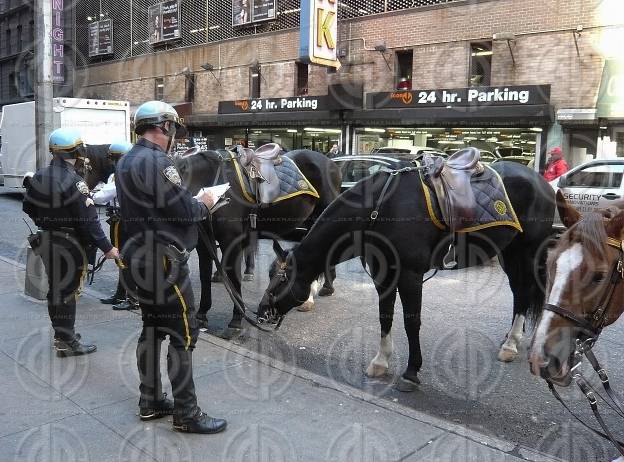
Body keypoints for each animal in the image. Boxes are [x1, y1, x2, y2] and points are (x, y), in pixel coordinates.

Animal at [176, 150, 342, 334]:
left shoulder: (231, 239)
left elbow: (233, 277)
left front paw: (236, 320)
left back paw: (321, 291)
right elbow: (204, 275)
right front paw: (202, 315)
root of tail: (332, 163)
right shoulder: (204, 242)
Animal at [258, 161, 556, 388]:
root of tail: (543, 183)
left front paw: (412, 371)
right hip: (508, 252)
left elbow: (411, 322)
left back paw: (511, 345)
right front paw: (380, 362)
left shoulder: (410, 276)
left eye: (281, 279)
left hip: (527, 253)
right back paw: (510, 339)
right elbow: (385, 317)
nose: (261, 313)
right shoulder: (384, 277)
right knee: (519, 293)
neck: (379, 210)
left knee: (524, 292)